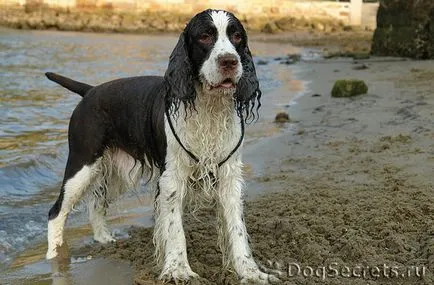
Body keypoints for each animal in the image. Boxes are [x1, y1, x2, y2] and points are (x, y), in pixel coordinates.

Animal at [43, 8, 274, 282]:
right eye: (204, 36)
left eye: (237, 36)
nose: (229, 61)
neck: (209, 106)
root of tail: (90, 91)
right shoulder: (172, 178)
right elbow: (175, 229)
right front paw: (178, 269)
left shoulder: (229, 176)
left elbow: (237, 229)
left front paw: (250, 271)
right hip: (82, 163)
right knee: (56, 211)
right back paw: (53, 258)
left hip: (115, 169)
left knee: (96, 203)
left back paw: (104, 239)